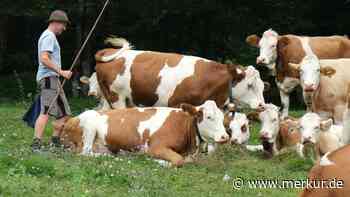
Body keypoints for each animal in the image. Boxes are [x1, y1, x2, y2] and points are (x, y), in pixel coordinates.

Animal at [81, 37, 268, 111]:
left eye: (262, 87)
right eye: (250, 85)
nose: (262, 105)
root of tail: (108, 51)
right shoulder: (177, 103)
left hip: (107, 97)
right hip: (117, 96)